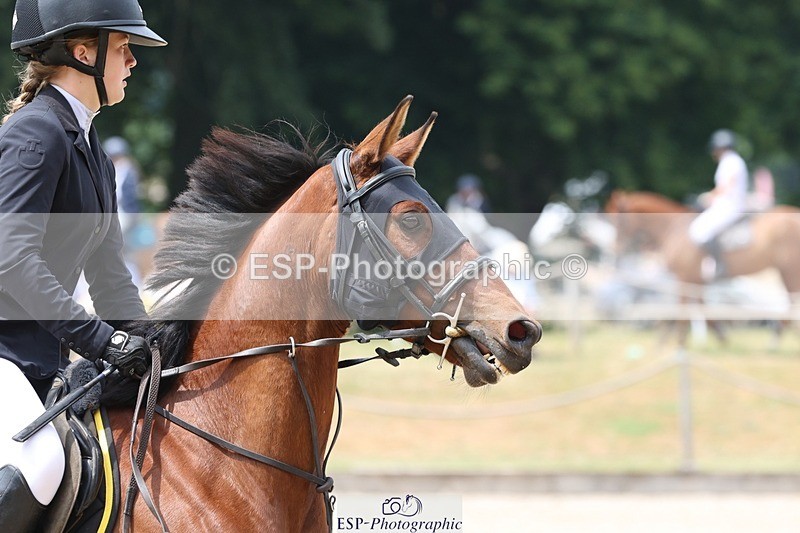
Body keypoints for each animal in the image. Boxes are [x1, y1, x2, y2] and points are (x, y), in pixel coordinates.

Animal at [605, 189, 800, 345]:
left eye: (618, 221)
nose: (614, 249)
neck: (672, 228)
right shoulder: (696, 280)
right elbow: (700, 306)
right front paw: (720, 336)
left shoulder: (684, 277)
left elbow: (683, 307)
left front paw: (679, 339)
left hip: (789, 269)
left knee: (792, 301)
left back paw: (775, 338)